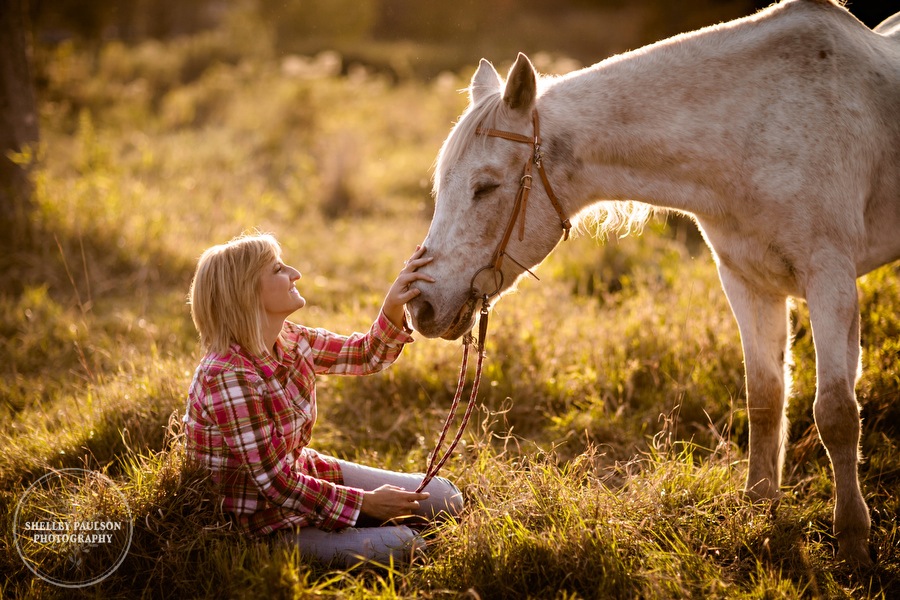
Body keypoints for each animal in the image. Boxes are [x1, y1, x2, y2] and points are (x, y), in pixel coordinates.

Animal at [410, 0, 900, 568]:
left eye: (485, 187)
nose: (420, 306)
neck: (757, 125)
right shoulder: (746, 282)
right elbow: (764, 398)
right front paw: (759, 513)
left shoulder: (830, 278)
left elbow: (837, 413)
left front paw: (854, 543)